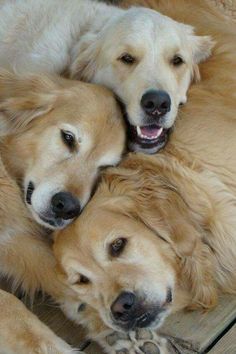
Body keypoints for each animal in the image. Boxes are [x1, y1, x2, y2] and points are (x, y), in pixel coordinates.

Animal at [0, 70, 125, 352]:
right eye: (68, 138)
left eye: (103, 168)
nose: (67, 207)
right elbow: (12, 307)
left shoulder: (14, 239)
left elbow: (60, 271)